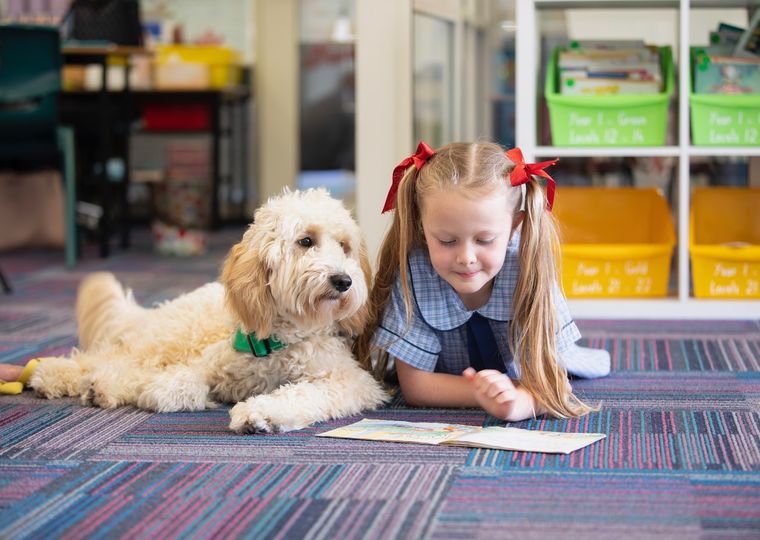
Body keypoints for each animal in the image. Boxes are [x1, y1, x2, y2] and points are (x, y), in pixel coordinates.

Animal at [30, 188, 388, 432]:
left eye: (344, 246)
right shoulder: (208, 361)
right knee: (109, 357)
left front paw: (259, 413)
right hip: (170, 339)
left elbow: (300, 394)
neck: (279, 340)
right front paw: (151, 389)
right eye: (306, 241)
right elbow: (180, 381)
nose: (343, 280)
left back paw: (90, 385)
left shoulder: (349, 380)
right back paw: (59, 376)